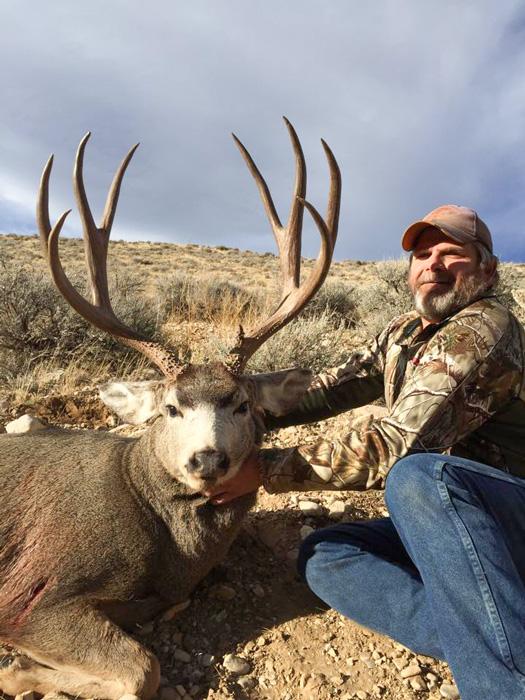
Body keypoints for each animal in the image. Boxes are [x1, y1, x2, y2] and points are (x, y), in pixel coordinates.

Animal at [0, 118, 340, 700]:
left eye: (242, 404)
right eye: (169, 408)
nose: (207, 460)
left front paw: (21, 669)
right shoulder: (34, 595)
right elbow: (143, 670)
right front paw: (18, 669)